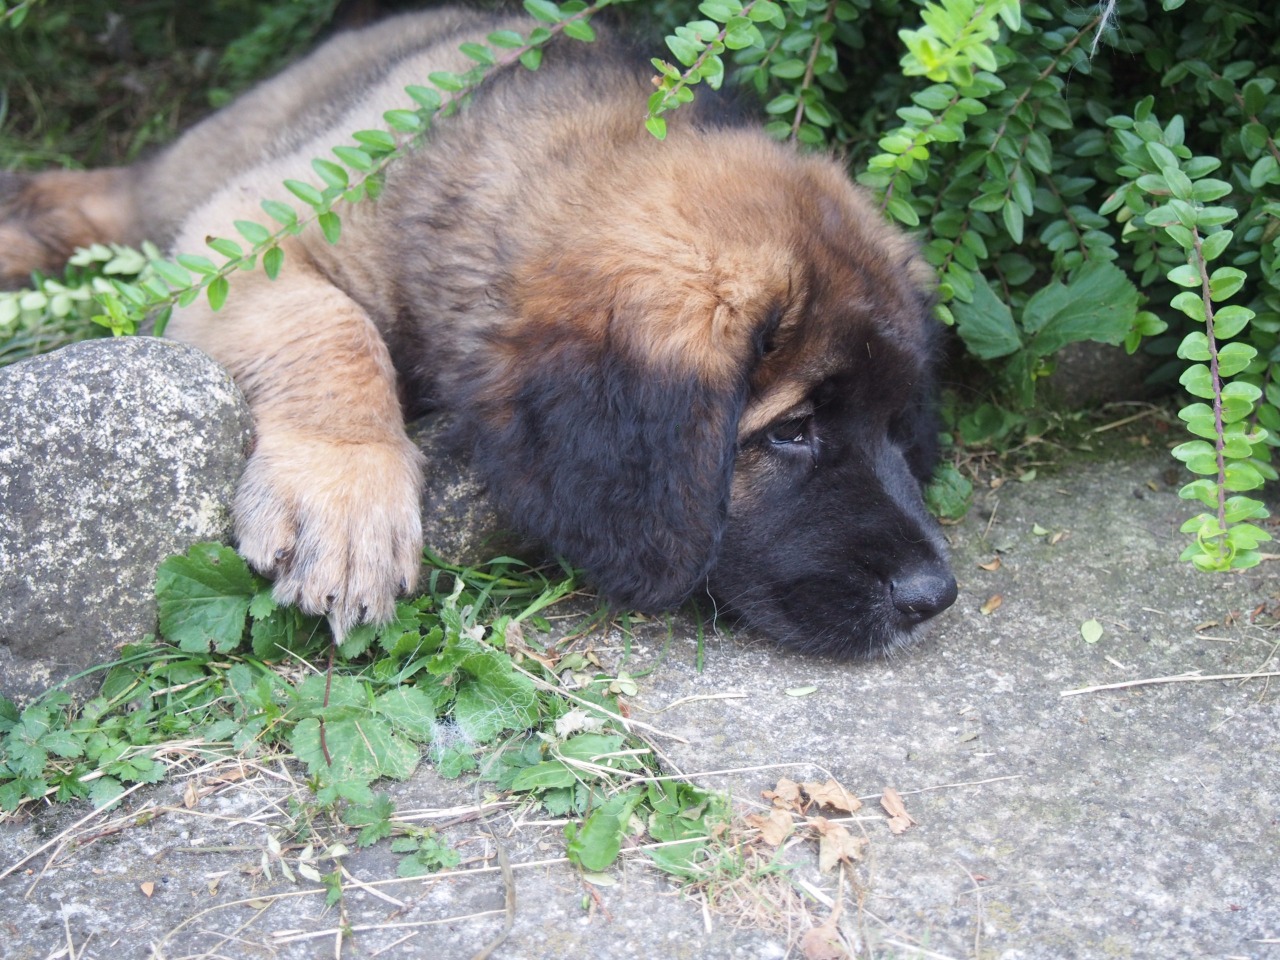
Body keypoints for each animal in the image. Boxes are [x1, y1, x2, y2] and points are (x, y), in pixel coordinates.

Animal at [0, 7, 957, 657]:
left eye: (894, 426)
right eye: (792, 432)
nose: (935, 597)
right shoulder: (245, 233)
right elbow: (331, 325)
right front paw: (348, 494)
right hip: (211, 162)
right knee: (106, 196)